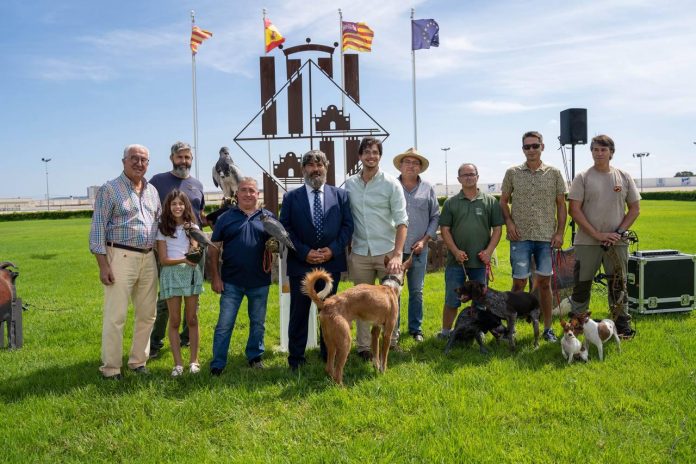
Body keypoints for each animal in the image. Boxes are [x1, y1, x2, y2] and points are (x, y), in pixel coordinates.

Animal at [302, 256, 410, 386]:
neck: (390, 286)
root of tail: (326, 303)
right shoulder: (387, 332)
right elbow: (384, 357)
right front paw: (383, 372)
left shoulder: (375, 330)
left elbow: (376, 354)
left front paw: (376, 368)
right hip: (345, 342)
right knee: (338, 371)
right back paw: (342, 388)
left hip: (330, 342)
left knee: (329, 368)